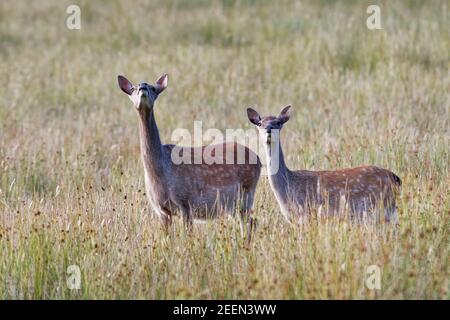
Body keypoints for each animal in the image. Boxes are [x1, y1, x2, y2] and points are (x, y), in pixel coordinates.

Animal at [118, 74, 262, 229]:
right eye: (133, 88)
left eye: (153, 88)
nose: (143, 87)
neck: (159, 173)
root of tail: (259, 160)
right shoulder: (161, 210)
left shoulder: (185, 201)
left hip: (246, 193)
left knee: (251, 222)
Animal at [248, 105, 402, 225]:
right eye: (260, 123)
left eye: (279, 122)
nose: (269, 128)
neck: (287, 189)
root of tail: (395, 177)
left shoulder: (306, 214)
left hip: (381, 208)